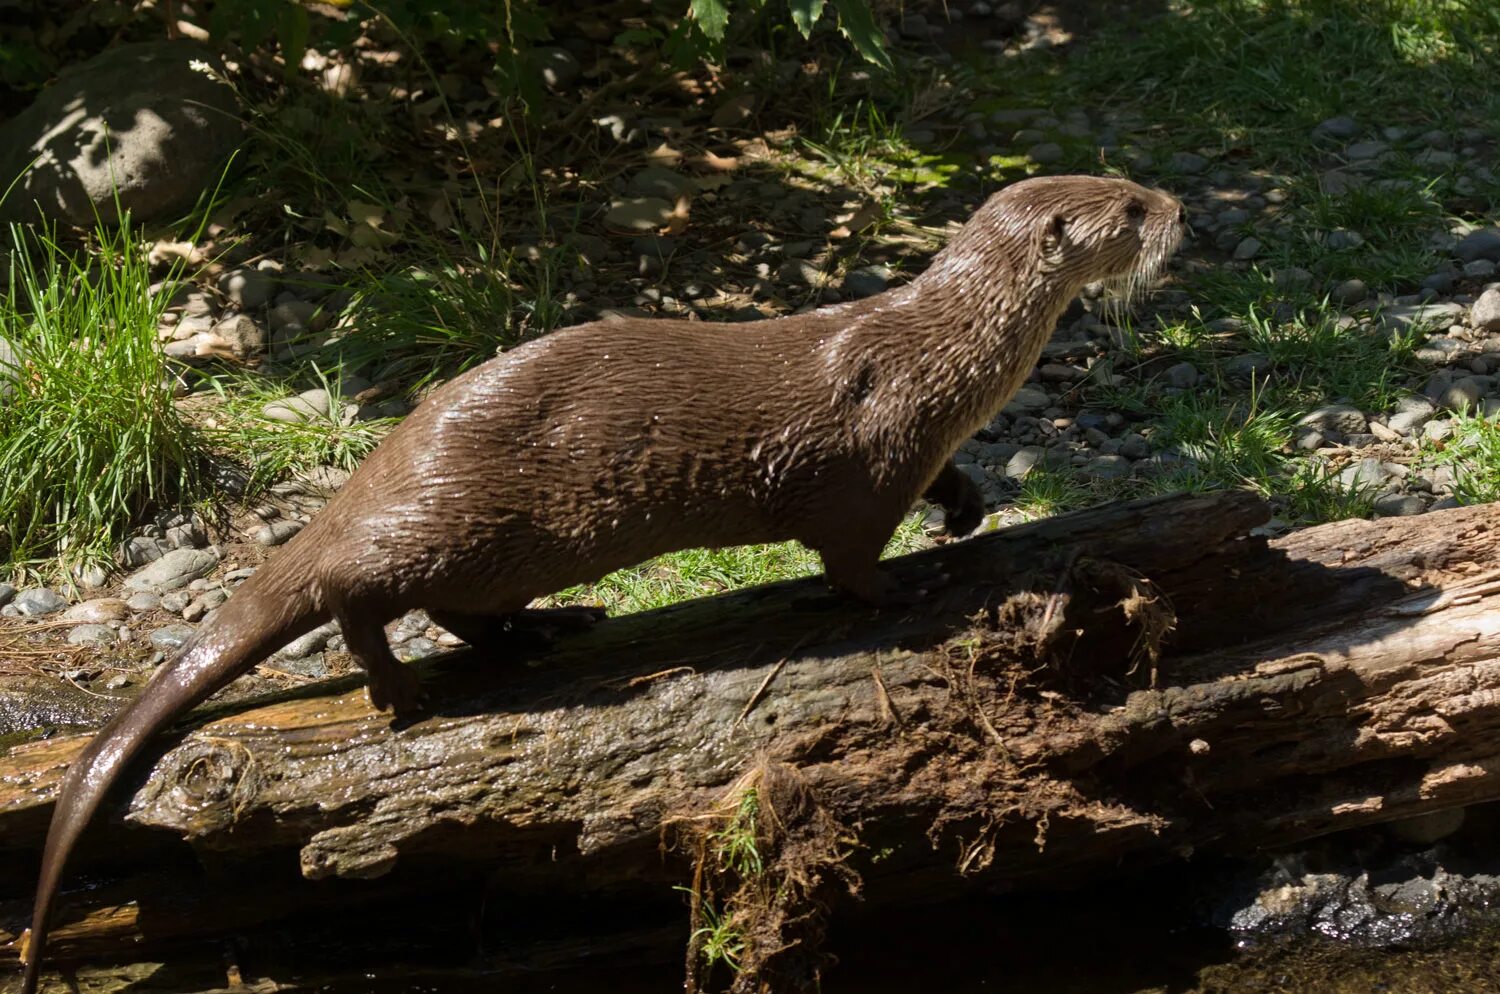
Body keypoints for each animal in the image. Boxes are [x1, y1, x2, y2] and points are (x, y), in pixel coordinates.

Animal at [14, 174, 1182, 989]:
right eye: (1129, 203)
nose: (1177, 212)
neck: (953, 351)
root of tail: (387, 459)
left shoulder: (924, 444)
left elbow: (949, 482)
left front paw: (970, 508)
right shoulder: (874, 452)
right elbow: (849, 557)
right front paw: (905, 592)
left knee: (456, 611)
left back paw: (551, 628)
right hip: (463, 522)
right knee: (357, 591)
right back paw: (400, 686)